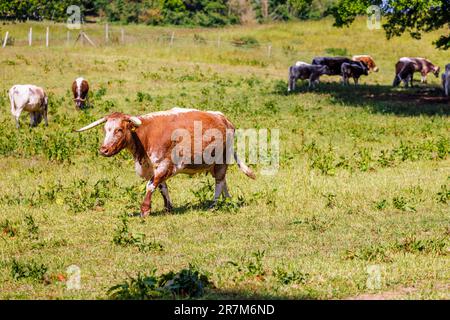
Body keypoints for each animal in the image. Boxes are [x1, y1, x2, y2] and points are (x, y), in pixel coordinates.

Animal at [75, 107, 255, 218]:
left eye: (119, 129)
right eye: (106, 129)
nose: (104, 150)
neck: (144, 137)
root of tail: (223, 118)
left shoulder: (164, 165)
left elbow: (151, 186)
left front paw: (145, 210)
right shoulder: (153, 167)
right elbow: (162, 187)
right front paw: (168, 208)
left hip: (221, 159)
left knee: (219, 181)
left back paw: (214, 204)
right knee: (223, 180)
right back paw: (227, 199)